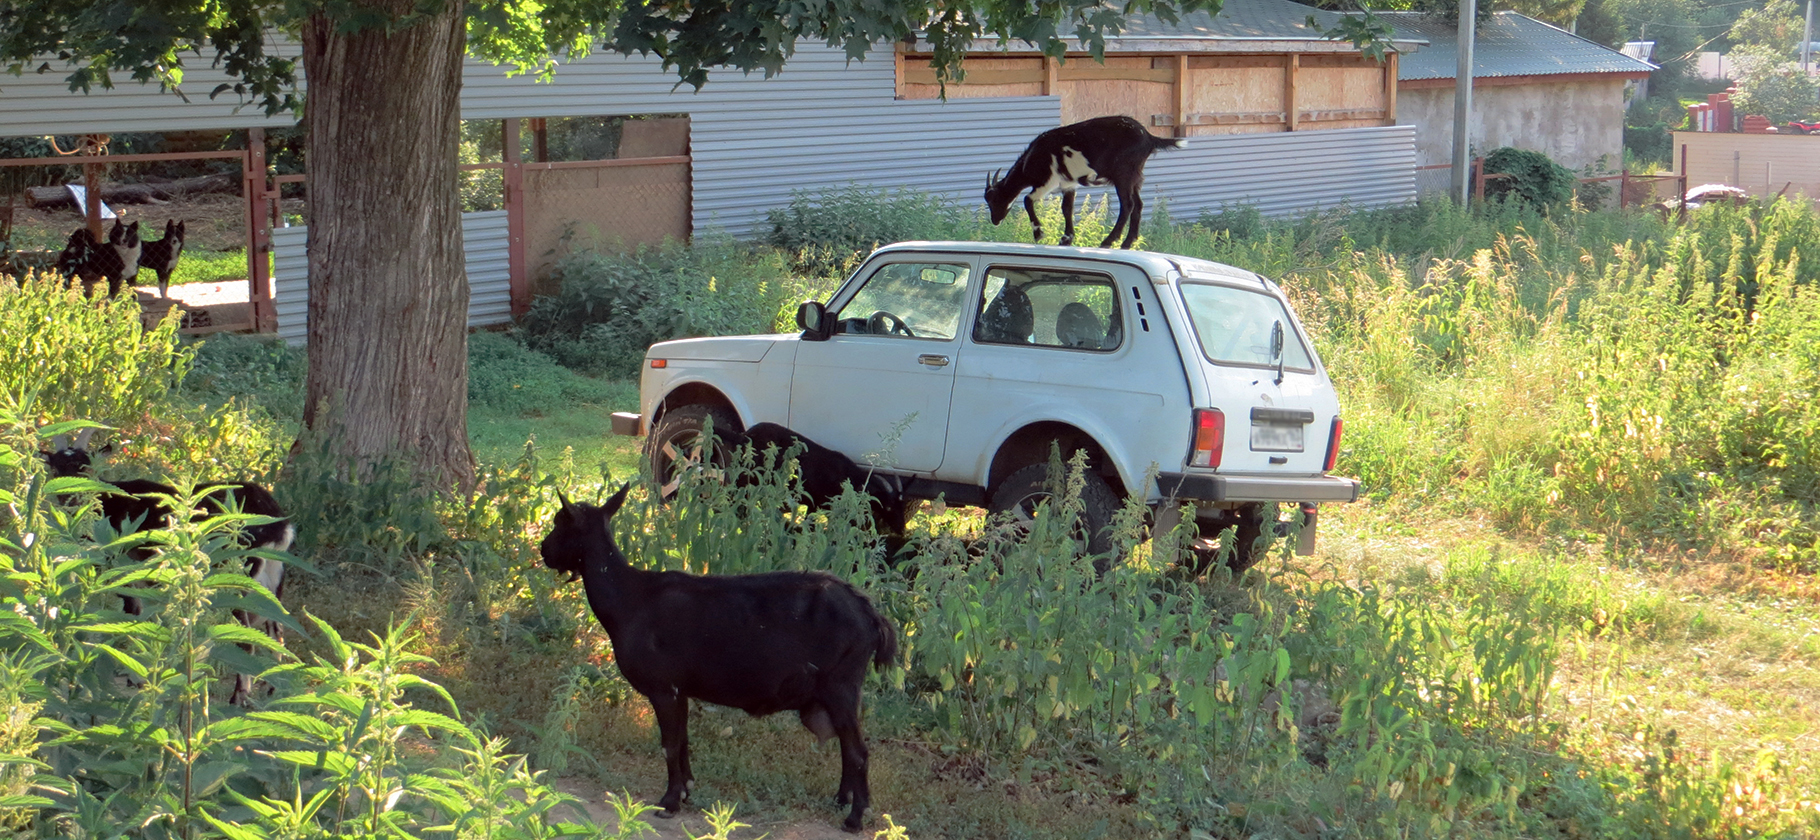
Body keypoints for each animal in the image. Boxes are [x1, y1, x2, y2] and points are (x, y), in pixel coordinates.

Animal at [42, 429, 294, 705]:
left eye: (84, 465)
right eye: (55, 468)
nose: (69, 494)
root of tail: (275, 520)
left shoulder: (126, 569)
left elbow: (132, 615)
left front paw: (137, 677)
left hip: (237, 572)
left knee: (247, 636)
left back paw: (239, 697)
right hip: (274, 576)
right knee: (277, 630)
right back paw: (274, 691)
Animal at [538, 487, 902, 832]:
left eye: (560, 521)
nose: (543, 551)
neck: (630, 599)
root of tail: (872, 617)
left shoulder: (663, 687)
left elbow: (669, 743)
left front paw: (669, 802)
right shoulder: (681, 690)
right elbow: (683, 740)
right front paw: (686, 790)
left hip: (841, 684)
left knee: (858, 751)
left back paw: (855, 818)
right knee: (847, 746)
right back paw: (842, 800)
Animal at [990, 116, 1186, 250]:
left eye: (993, 199)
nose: (994, 221)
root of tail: (1149, 138)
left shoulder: (1048, 180)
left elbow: (1027, 200)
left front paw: (1039, 233)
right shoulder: (1068, 183)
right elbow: (1066, 208)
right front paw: (1067, 238)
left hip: (1123, 174)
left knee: (1128, 204)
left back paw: (1108, 241)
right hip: (1135, 177)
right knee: (1138, 204)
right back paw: (1127, 243)